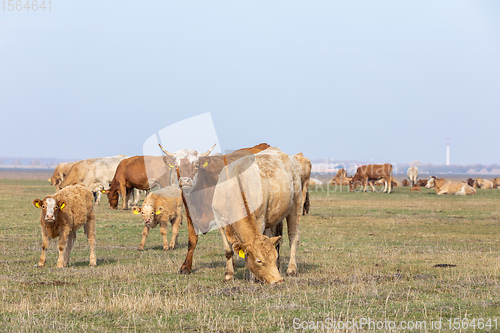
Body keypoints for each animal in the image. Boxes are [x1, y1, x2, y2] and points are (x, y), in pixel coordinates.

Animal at [160, 141, 270, 274]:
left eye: (196, 165)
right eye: (176, 165)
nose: (185, 181)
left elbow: (229, 241)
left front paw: (232, 266)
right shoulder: (190, 216)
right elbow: (192, 241)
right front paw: (185, 267)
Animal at [211, 147, 300, 282]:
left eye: (272, 258)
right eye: (259, 261)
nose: (278, 280)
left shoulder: (259, 219)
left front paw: (253, 278)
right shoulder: (220, 220)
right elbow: (228, 250)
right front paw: (228, 275)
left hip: (296, 203)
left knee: (293, 237)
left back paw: (291, 269)